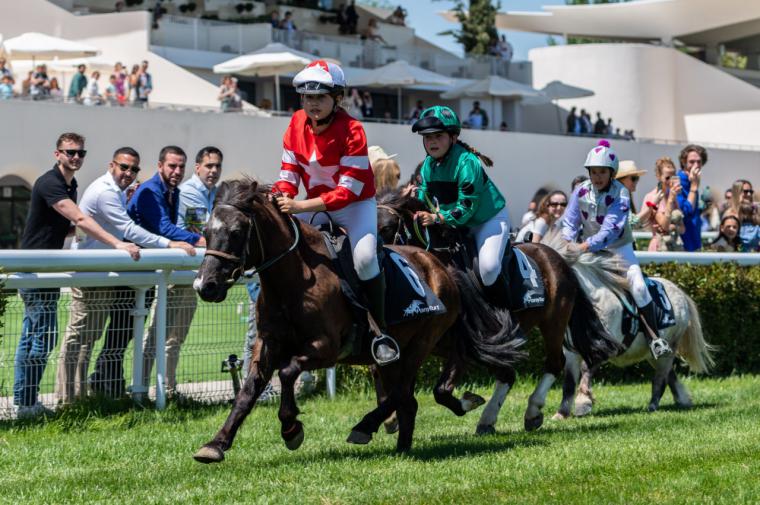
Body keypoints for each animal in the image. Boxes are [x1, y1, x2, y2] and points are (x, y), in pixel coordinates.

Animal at [191, 180, 524, 460]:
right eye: (206, 232)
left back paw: (368, 426)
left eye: (236, 232)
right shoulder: (268, 343)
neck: (293, 279)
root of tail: (442, 267)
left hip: (421, 343)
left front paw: (290, 428)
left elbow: (286, 372)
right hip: (417, 347)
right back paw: (405, 441)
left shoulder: (325, 348)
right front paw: (215, 444)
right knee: (412, 394)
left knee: (404, 390)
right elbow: (248, 391)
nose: (206, 286)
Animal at [376, 189, 624, 434]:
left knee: (554, 362)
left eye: (387, 227)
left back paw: (532, 411)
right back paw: (488, 420)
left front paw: (468, 402)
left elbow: (441, 391)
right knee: (509, 374)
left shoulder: (464, 346)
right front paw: (390, 419)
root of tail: (558, 256)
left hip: (554, 322)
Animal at [544, 233, 716, 418]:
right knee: (670, 375)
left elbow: (586, 368)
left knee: (660, 378)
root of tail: (681, 294)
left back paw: (653, 405)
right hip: (652, 354)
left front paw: (583, 402)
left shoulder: (606, 346)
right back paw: (682, 400)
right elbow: (568, 382)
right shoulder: (571, 352)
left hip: (669, 346)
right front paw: (561, 414)